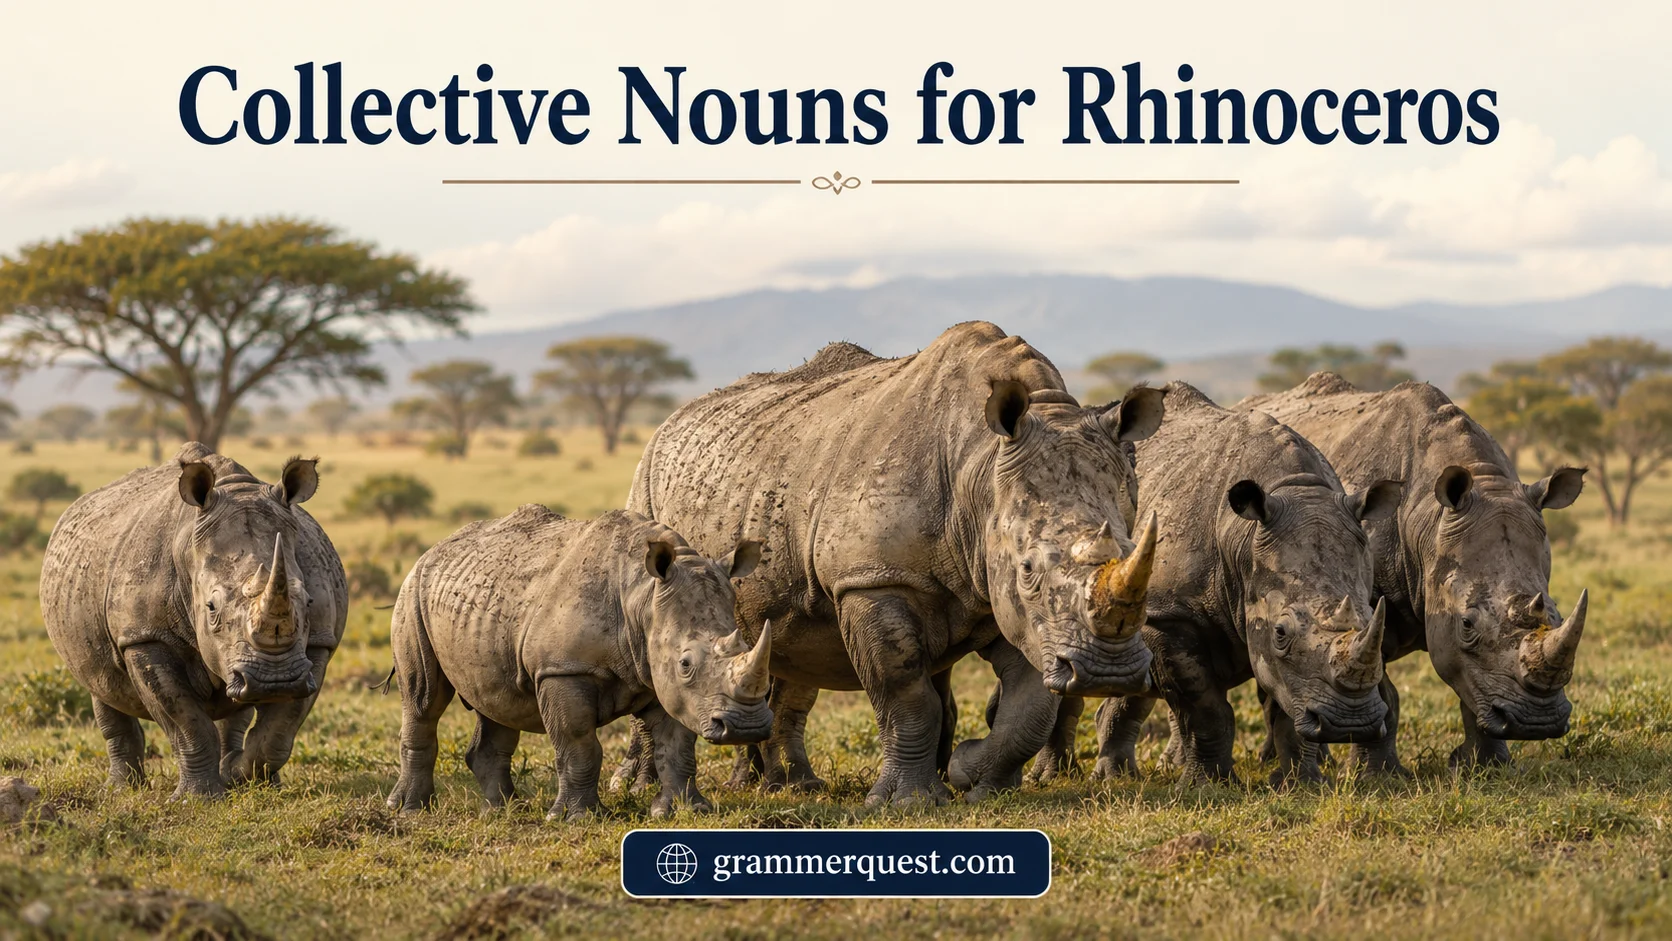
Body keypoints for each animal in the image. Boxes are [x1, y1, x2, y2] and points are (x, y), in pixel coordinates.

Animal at [39, 444, 345, 799]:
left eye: (308, 602)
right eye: (210, 608)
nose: (274, 681)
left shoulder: (318, 642)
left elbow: (279, 731)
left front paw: (239, 776)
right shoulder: (143, 636)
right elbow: (186, 722)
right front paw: (198, 799)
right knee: (100, 685)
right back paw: (121, 791)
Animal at [385, 506, 773, 819]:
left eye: (745, 644)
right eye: (686, 663)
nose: (747, 727)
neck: (642, 598)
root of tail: (434, 549)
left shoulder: (661, 675)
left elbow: (676, 745)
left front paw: (685, 811)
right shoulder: (563, 669)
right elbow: (578, 743)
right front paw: (578, 818)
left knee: (498, 702)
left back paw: (504, 810)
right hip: (412, 592)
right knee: (423, 699)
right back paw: (409, 810)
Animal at [613, 323, 1164, 806]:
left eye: (1134, 548)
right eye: (1028, 569)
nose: (1109, 672)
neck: (980, 467)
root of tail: (669, 422)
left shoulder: (1014, 604)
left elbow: (1031, 708)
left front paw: (973, 776)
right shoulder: (872, 581)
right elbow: (904, 692)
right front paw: (909, 802)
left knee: (786, 642)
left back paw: (791, 786)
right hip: (647, 492)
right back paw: (638, 787)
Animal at [1023, 383, 1402, 783]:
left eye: (1373, 622)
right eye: (1281, 632)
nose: (1351, 724)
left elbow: (1287, 704)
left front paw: (1302, 783)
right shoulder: (1170, 615)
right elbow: (1205, 707)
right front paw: (1207, 784)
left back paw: (1116, 777)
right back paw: (1052, 778)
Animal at [1243, 374, 1587, 769]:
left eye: (1556, 614)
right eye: (1467, 624)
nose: (1535, 722)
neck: (1428, 520)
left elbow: (1471, 686)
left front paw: (1487, 767)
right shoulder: (1364, 606)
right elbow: (1386, 692)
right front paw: (1375, 774)